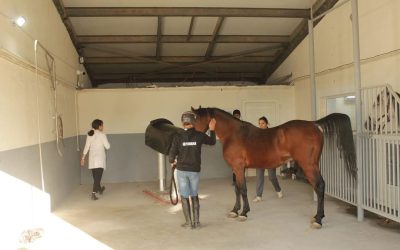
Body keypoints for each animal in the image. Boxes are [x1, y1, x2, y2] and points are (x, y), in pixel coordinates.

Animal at [191, 106, 356, 228]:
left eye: (196, 118)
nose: (191, 133)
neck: (234, 134)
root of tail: (313, 124)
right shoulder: (236, 169)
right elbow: (237, 189)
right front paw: (234, 211)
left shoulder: (238, 167)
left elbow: (243, 189)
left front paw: (244, 213)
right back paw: (317, 216)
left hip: (309, 165)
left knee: (320, 186)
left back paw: (318, 220)